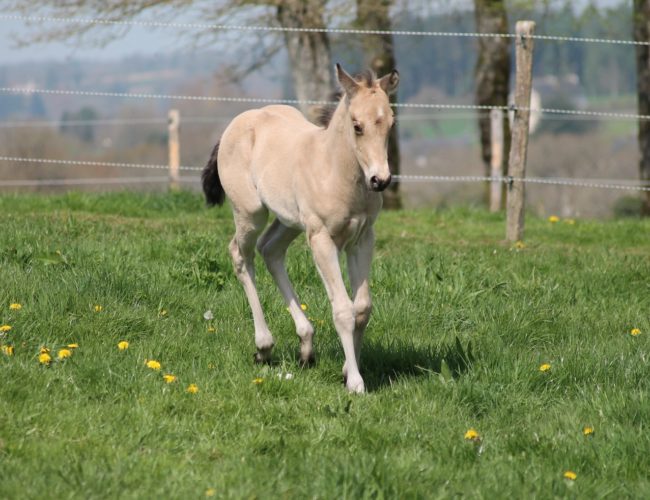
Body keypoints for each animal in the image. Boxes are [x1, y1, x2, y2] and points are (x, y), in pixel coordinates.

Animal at [202, 64, 399, 393]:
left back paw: (306, 346)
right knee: (241, 255)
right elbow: (343, 309)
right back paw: (264, 347)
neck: (335, 171)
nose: (380, 180)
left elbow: (362, 308)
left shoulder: (362, 238)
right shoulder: (321, 239)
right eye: (357, 126)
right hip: (251, 214)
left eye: (390, 124)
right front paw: (355, 382)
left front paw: (346, 369)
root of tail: (239, 122)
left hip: (289, 221)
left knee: (270, 250)